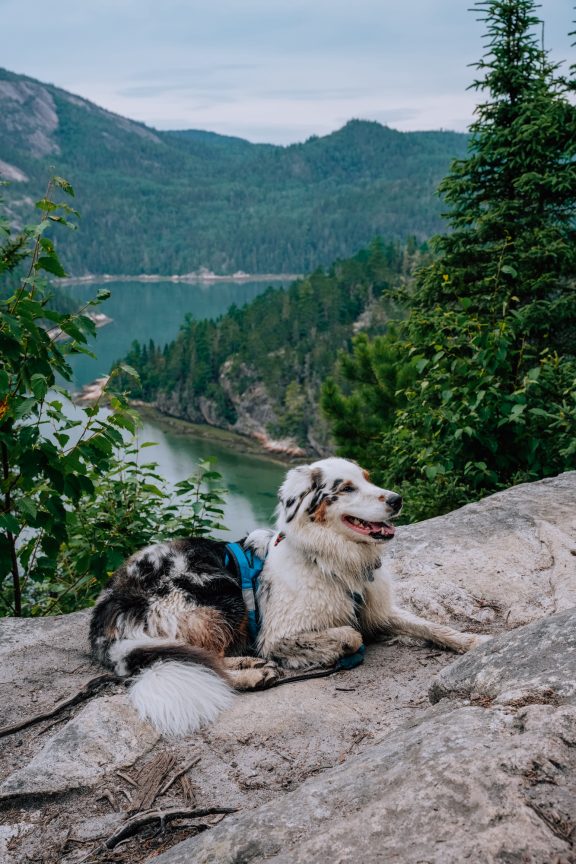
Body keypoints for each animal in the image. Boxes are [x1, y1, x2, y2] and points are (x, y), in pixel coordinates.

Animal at [91, 456, 486, 732]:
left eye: (368, 478)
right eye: (346, 488)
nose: (396, 499)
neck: (333, 560)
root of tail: (104, 615)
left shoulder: (379, 610)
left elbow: (430, 626)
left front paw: (474, 642)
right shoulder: (276, 636)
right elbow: (351, 633)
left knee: (199, 657)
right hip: (219, 593)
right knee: (202, 659)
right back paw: (252, 673)